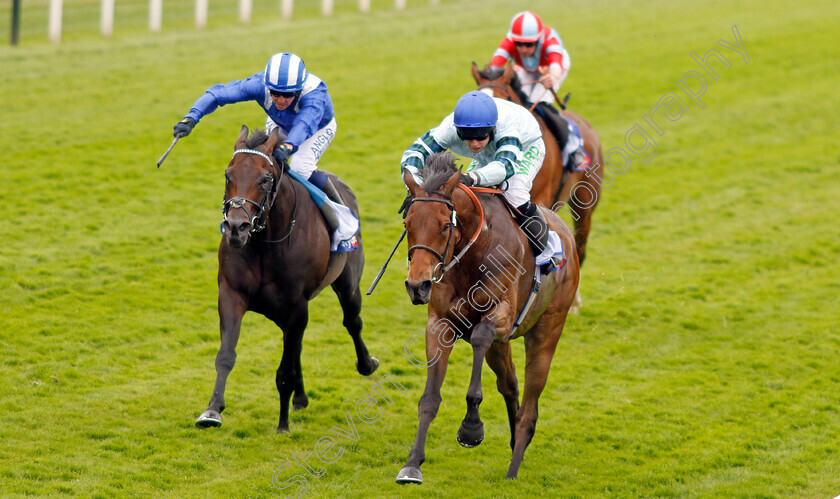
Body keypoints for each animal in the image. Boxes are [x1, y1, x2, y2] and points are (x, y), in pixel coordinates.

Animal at [398, 153, 580, 484]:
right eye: (408, 222)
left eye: (443, 226)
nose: (418, 285)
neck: (471, 255)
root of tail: (566, 236)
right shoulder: (440, 324)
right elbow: (429, 398)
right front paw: (412, 464)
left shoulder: (503, 316)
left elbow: (480, 338)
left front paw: (471, 427)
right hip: (502, 346)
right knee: (510, 384)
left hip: (547, 329)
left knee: (530, 404)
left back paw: (514, 468)